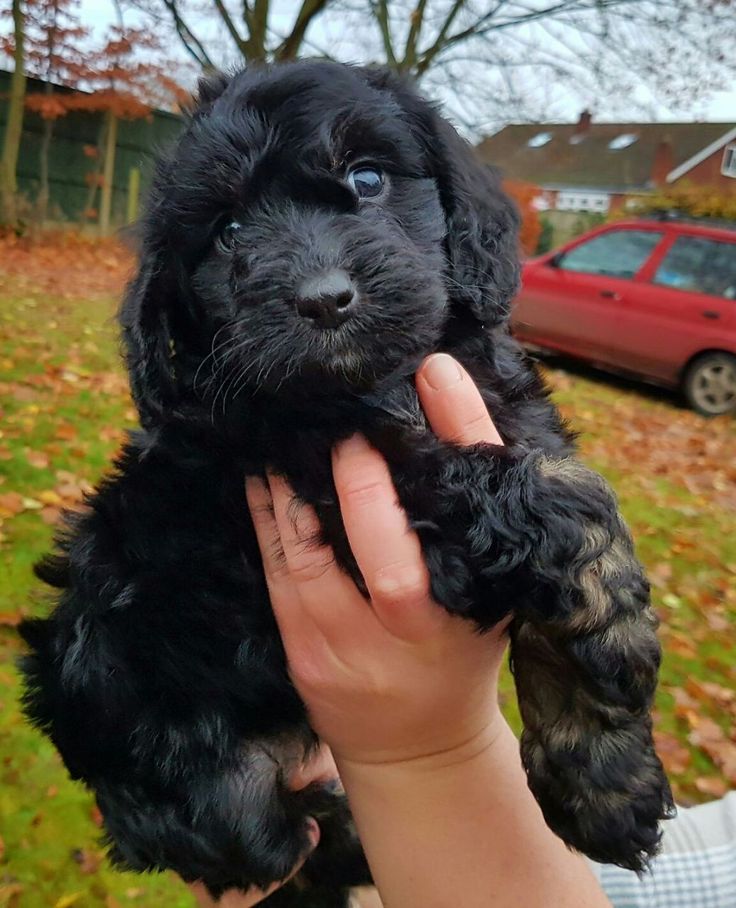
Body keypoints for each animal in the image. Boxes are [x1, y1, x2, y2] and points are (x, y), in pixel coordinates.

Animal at [18, 60, 672, 904]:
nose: (323, 300)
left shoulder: (514, 419)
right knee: (279, 847)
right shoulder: (352, 475)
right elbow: (566, 507)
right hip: (214, 787)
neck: (382, 382)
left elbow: (567, 506)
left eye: (367, 179)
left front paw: (605, 781)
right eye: (228, 232)